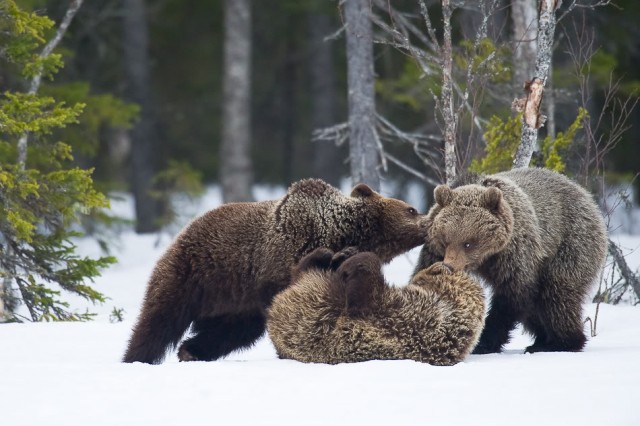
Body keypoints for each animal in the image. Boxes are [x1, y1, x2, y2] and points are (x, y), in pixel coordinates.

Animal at [122, 178, 428, 364]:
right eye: (411, 209)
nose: (427, 220)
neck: (339, 230)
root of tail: (182, 232)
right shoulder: (282, 254)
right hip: (193, 272)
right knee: (159, 319)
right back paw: (138, 356)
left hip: (236, 301)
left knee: (233, 331)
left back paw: (191, 350)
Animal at [266, 246, 484, 366]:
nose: (444, 264)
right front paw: (344, 257)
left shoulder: (405, 322)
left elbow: (361, 297)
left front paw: (349, 264)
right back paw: (331, 254)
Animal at [412, 168, 608, 354]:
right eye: (445, 240)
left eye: (468, 243)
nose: (450, 266)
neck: (487, 258)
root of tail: (585, 195)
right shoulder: (433, 250)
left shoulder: (515, 253)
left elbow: (512, 295)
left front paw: (483, 343)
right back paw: (542, 340)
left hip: (570, 244)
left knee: (557, 295)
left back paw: (562, 342)